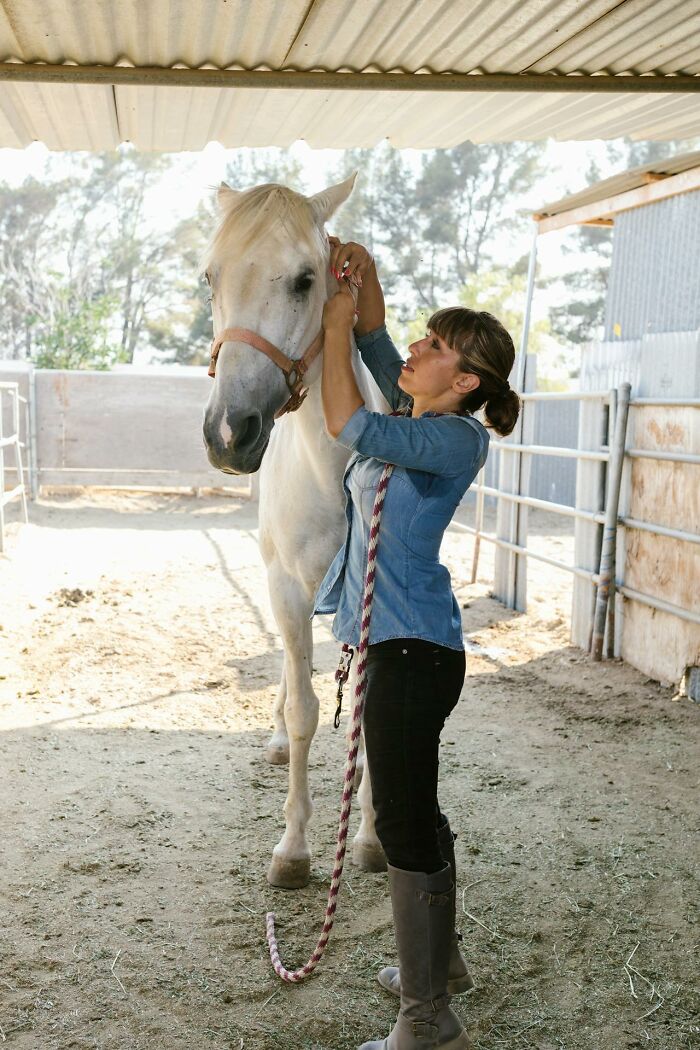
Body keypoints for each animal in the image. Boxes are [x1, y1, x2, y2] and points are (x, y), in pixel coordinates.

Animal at [202, 175, 388, 888]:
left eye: (307, 279)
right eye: (211, 276)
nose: (230, 431)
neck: (335, 470)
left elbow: (367, 713)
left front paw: (369, 839)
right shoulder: (286, 589)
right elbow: (307, 710)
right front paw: (294, 848)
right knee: (290, 669)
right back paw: (279, 739)